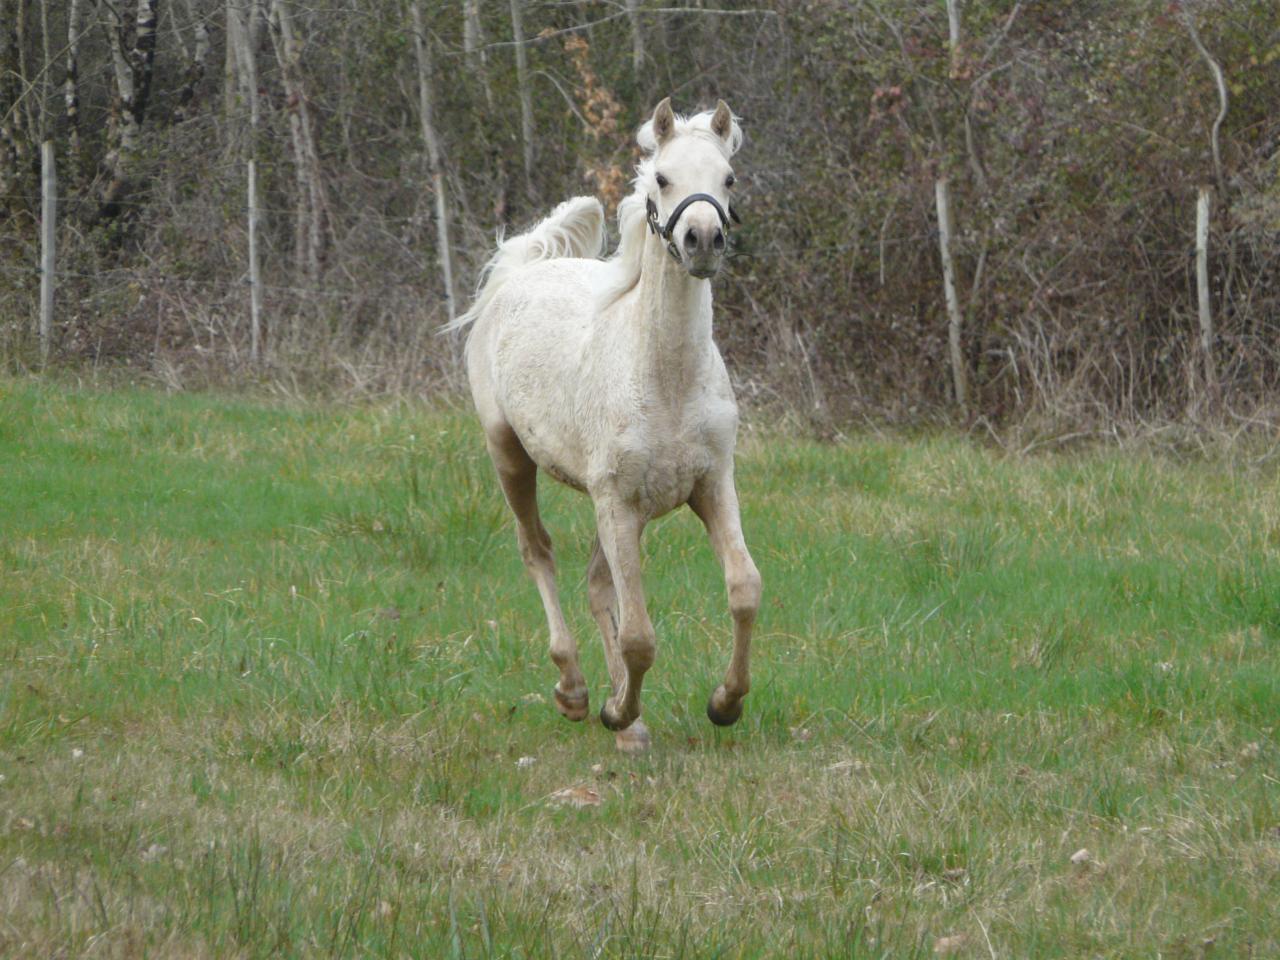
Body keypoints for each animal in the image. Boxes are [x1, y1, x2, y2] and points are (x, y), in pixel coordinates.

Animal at [450, 101, 757, 757]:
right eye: (662, 178)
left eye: (728, 178)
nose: (703, 240)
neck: (666, 379)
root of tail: (520, 271)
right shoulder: (617, 503)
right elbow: (639, 634)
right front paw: (616, 712)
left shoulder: (709, 486)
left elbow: (744, 589)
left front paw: (724, 704)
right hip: (511, 457)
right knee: (538, 552)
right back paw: (576, 693)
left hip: (612, 505)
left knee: (595, 584)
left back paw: (625, 718)